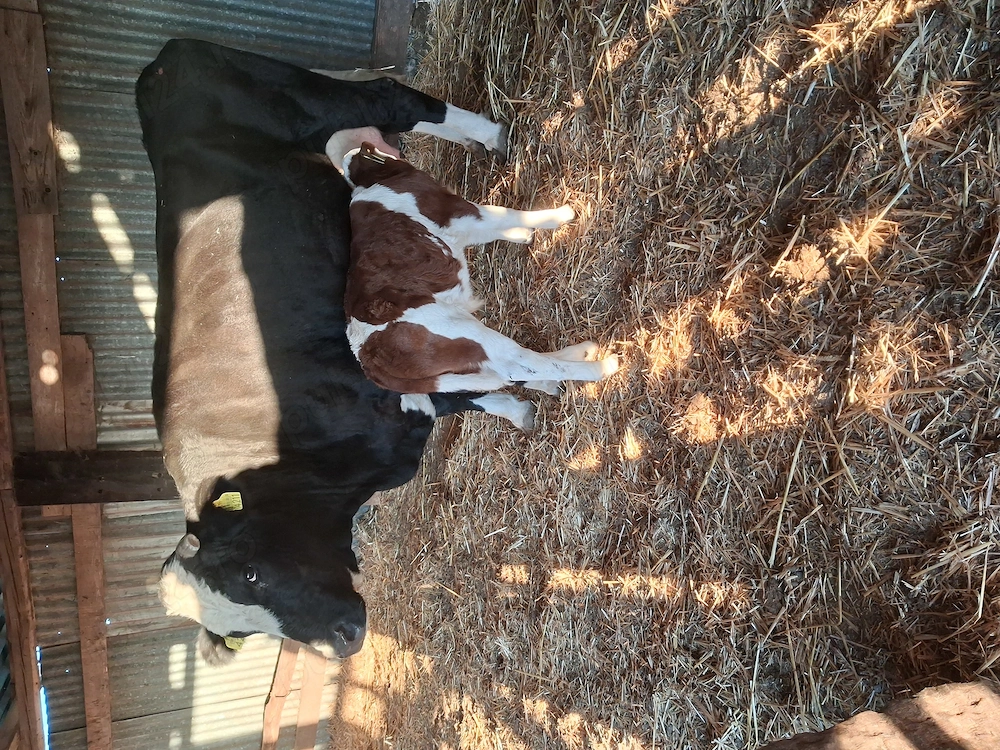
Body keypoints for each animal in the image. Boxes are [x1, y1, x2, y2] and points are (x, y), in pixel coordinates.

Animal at [138, 38, 533, 663]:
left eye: (252, 573)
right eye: (240, 633)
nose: (343, 640)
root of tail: (159, 63)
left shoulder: (392, 400)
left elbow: (475, 385)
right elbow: (473, 391)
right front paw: (520, 410)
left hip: (315, 98)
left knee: (393, 98)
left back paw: (491, 136)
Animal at [341, 143, 619, 402]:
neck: (374, 183)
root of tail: (364, 355)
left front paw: (523, 235)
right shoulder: (456, 210)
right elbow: (504, 214)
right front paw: (562, 214)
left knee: (507, 373)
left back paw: (579, 353)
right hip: (460, 332)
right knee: (516, 364)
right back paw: (605, 366)